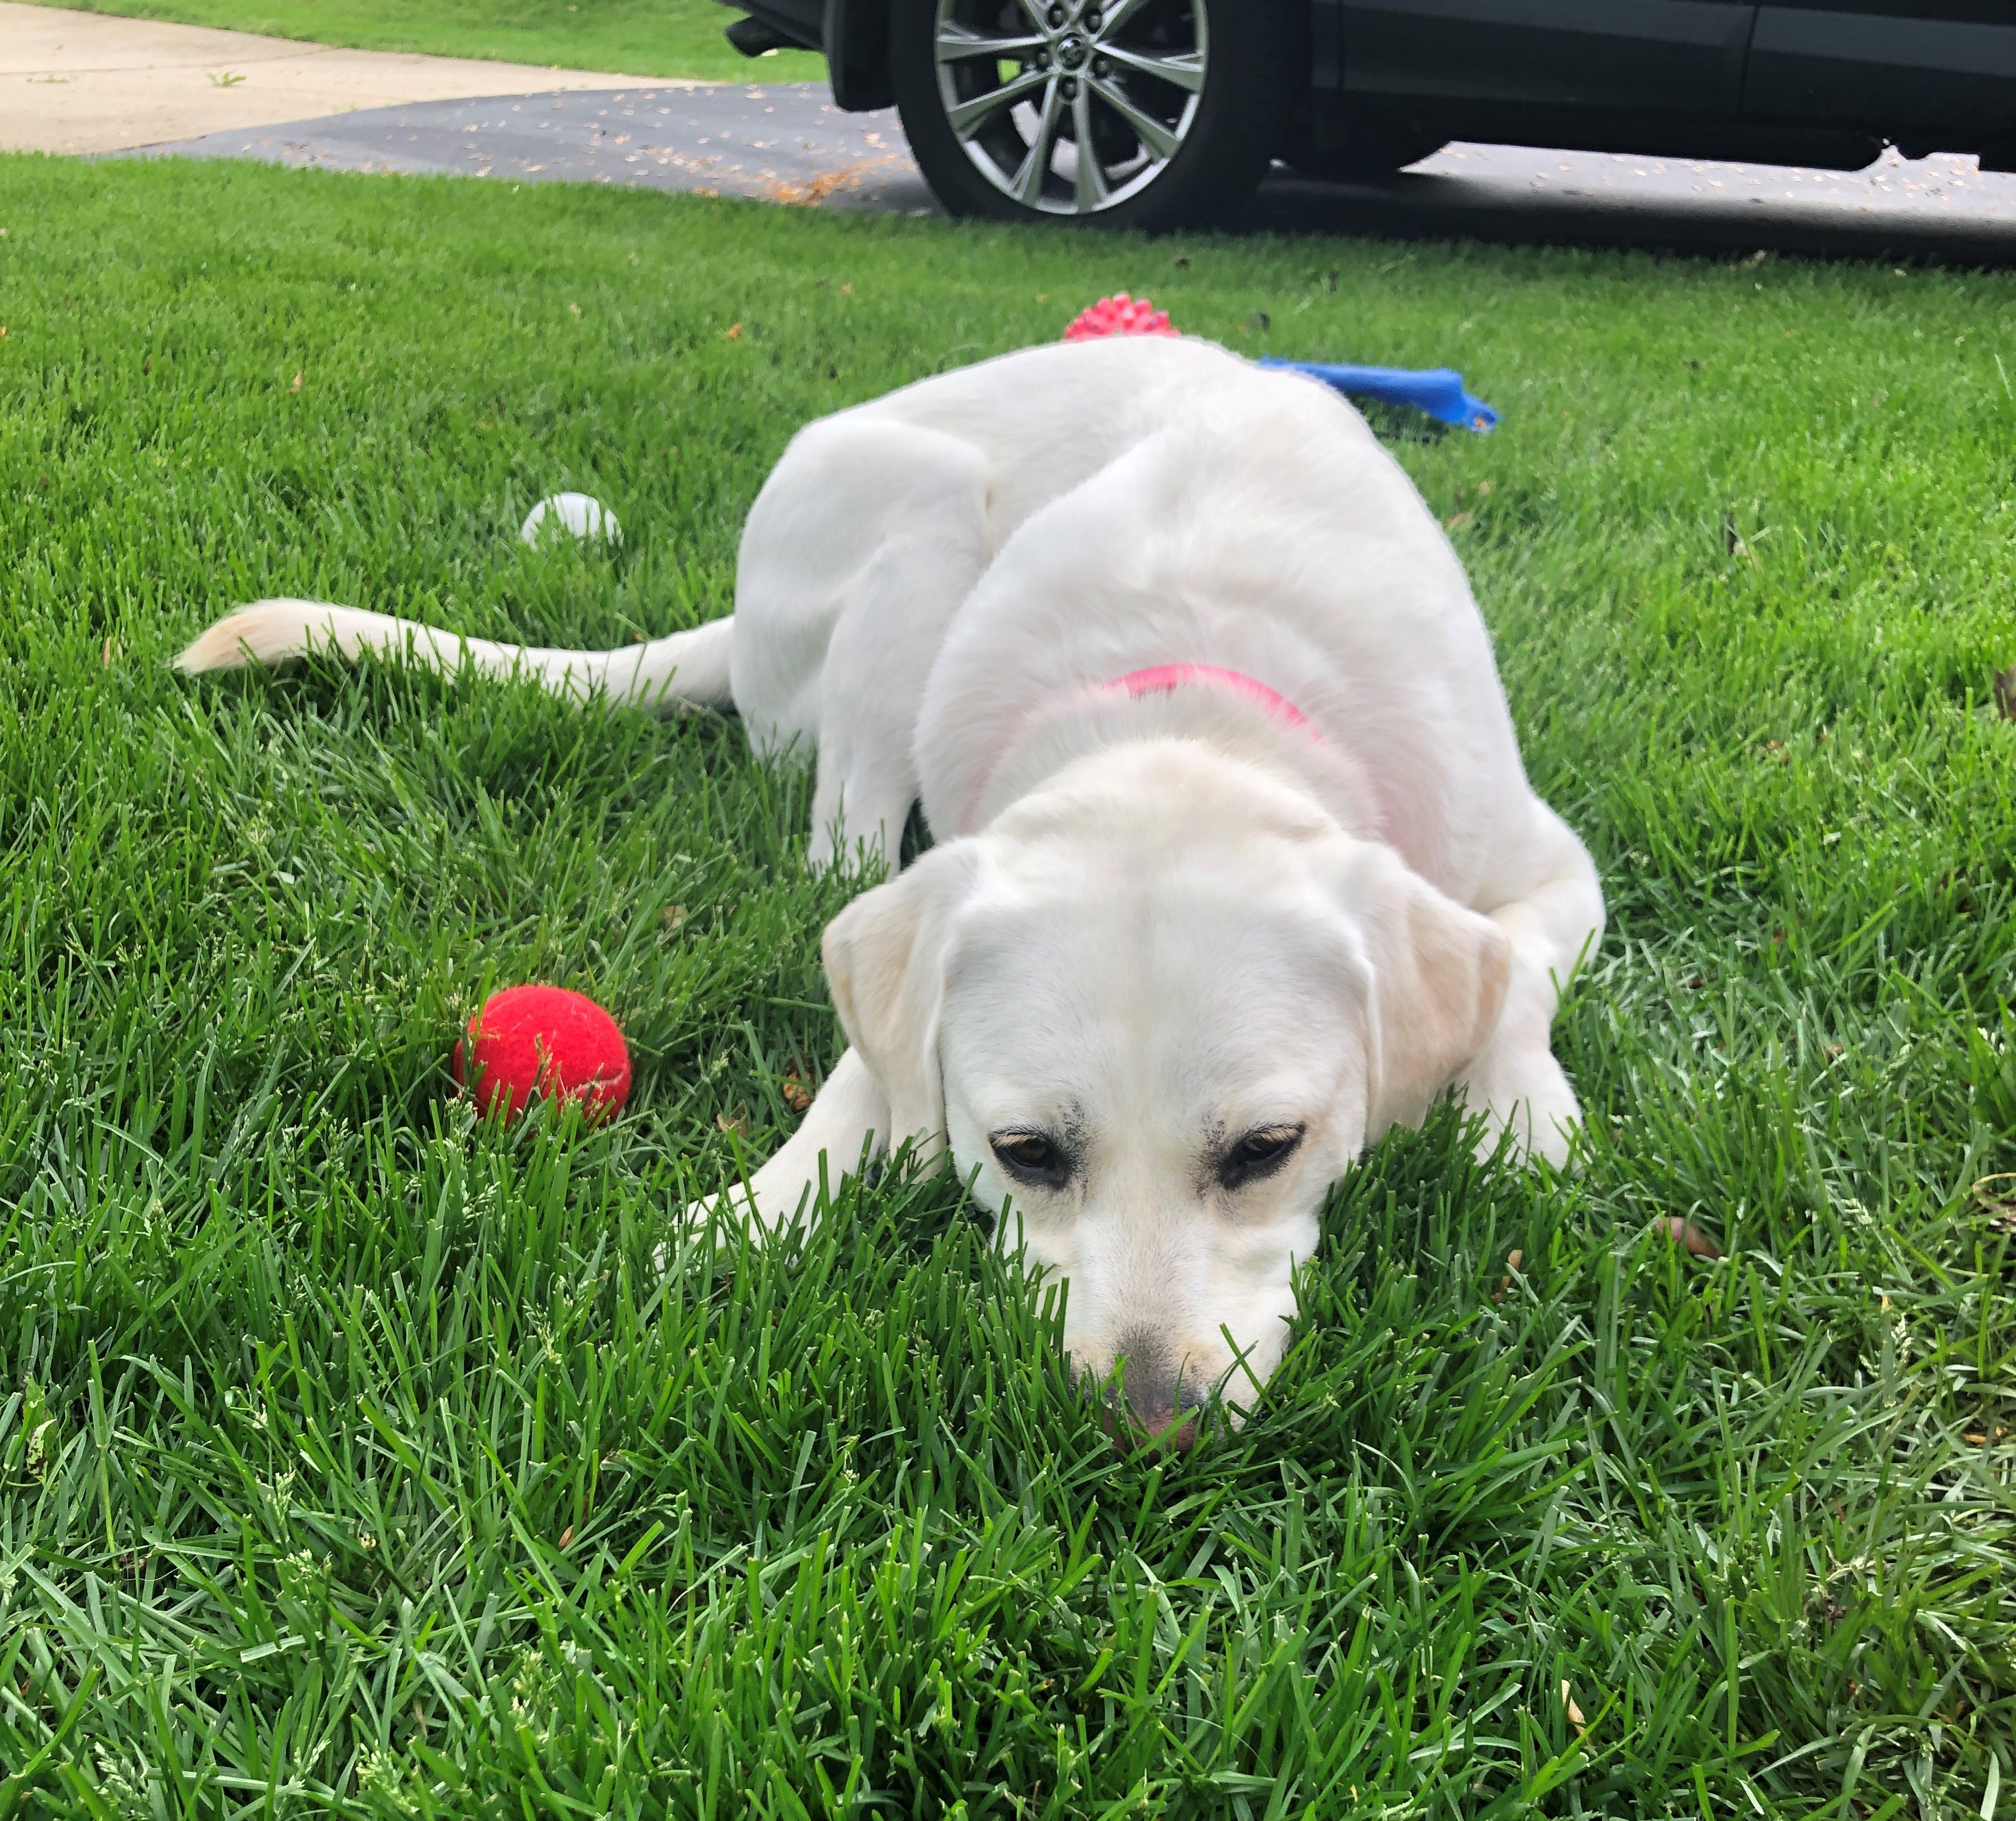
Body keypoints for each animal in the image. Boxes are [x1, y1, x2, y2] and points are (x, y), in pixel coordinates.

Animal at [181, 335, 1597, 1452]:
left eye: (1265, 1149)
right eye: (1025, 1152)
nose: (1146, 1421)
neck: (1188, 700)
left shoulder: (1548, 863)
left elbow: (1516, 979)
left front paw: (1517, 1117)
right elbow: (858, 1078)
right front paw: (740, 1219)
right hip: (914, 519)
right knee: (840, 848)